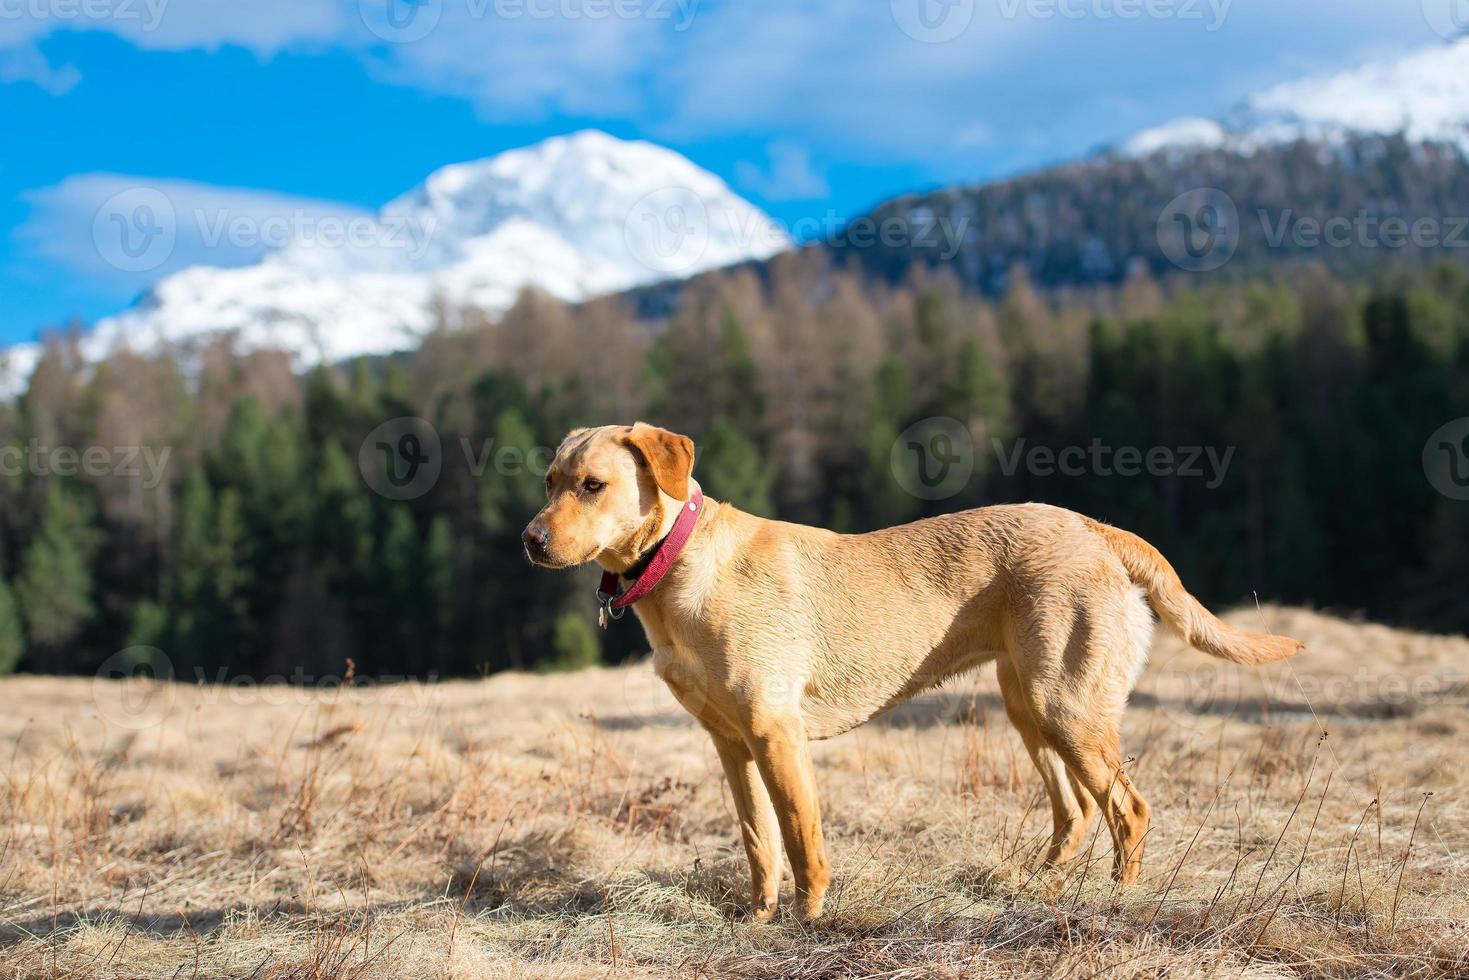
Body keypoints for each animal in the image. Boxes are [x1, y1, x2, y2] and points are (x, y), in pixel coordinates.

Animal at [522, 420, 1304, 922]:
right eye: (551, 481)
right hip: (1028, 705)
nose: (529, 540)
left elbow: (801, 839)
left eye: (592, 485)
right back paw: (1033, 888)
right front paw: (757, 919)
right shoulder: (730, 744)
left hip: (1068, 706)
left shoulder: (776, 735)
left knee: (1128, 810)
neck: (677, 564)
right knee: (1077, 811)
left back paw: (1119, 901)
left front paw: (807, 920)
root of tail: (1091, 527)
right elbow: (757, 842)